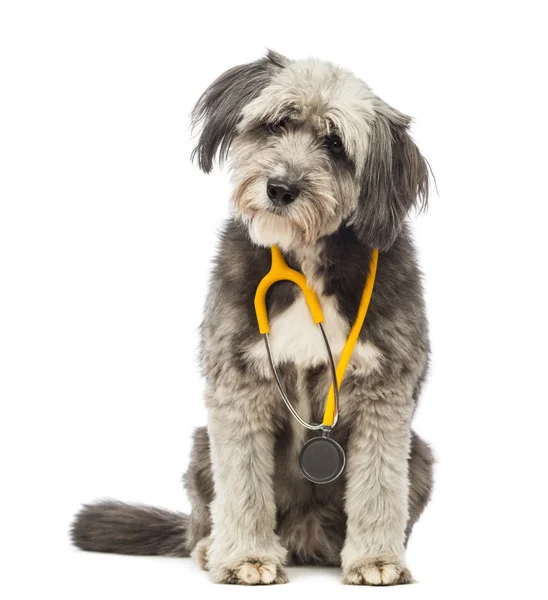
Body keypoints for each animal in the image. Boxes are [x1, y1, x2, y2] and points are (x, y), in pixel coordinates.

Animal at [71, 50, 432, 584]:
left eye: (335, 144)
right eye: (277, 123)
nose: (280, 188)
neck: (305, 258)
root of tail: (305, 539)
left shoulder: (383, 394)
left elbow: (379, 484)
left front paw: (375, 560)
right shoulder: (238, 388)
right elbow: (242, 482)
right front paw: (245, 557)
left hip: (421, 455)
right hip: (202, 445)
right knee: (202, 519)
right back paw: (212, 548)